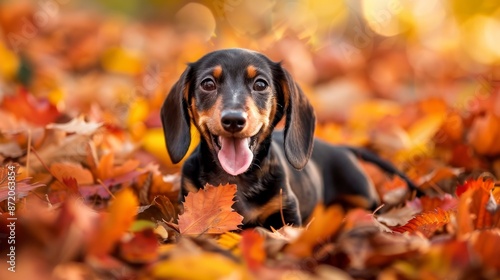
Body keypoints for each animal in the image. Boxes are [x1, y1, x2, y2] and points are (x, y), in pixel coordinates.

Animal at [161, 49, 418, 229]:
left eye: (260, 84)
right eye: (208, 84)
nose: (233, 120)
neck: (234, 179)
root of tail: (338, 147)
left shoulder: (287, 212)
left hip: (362, 192)